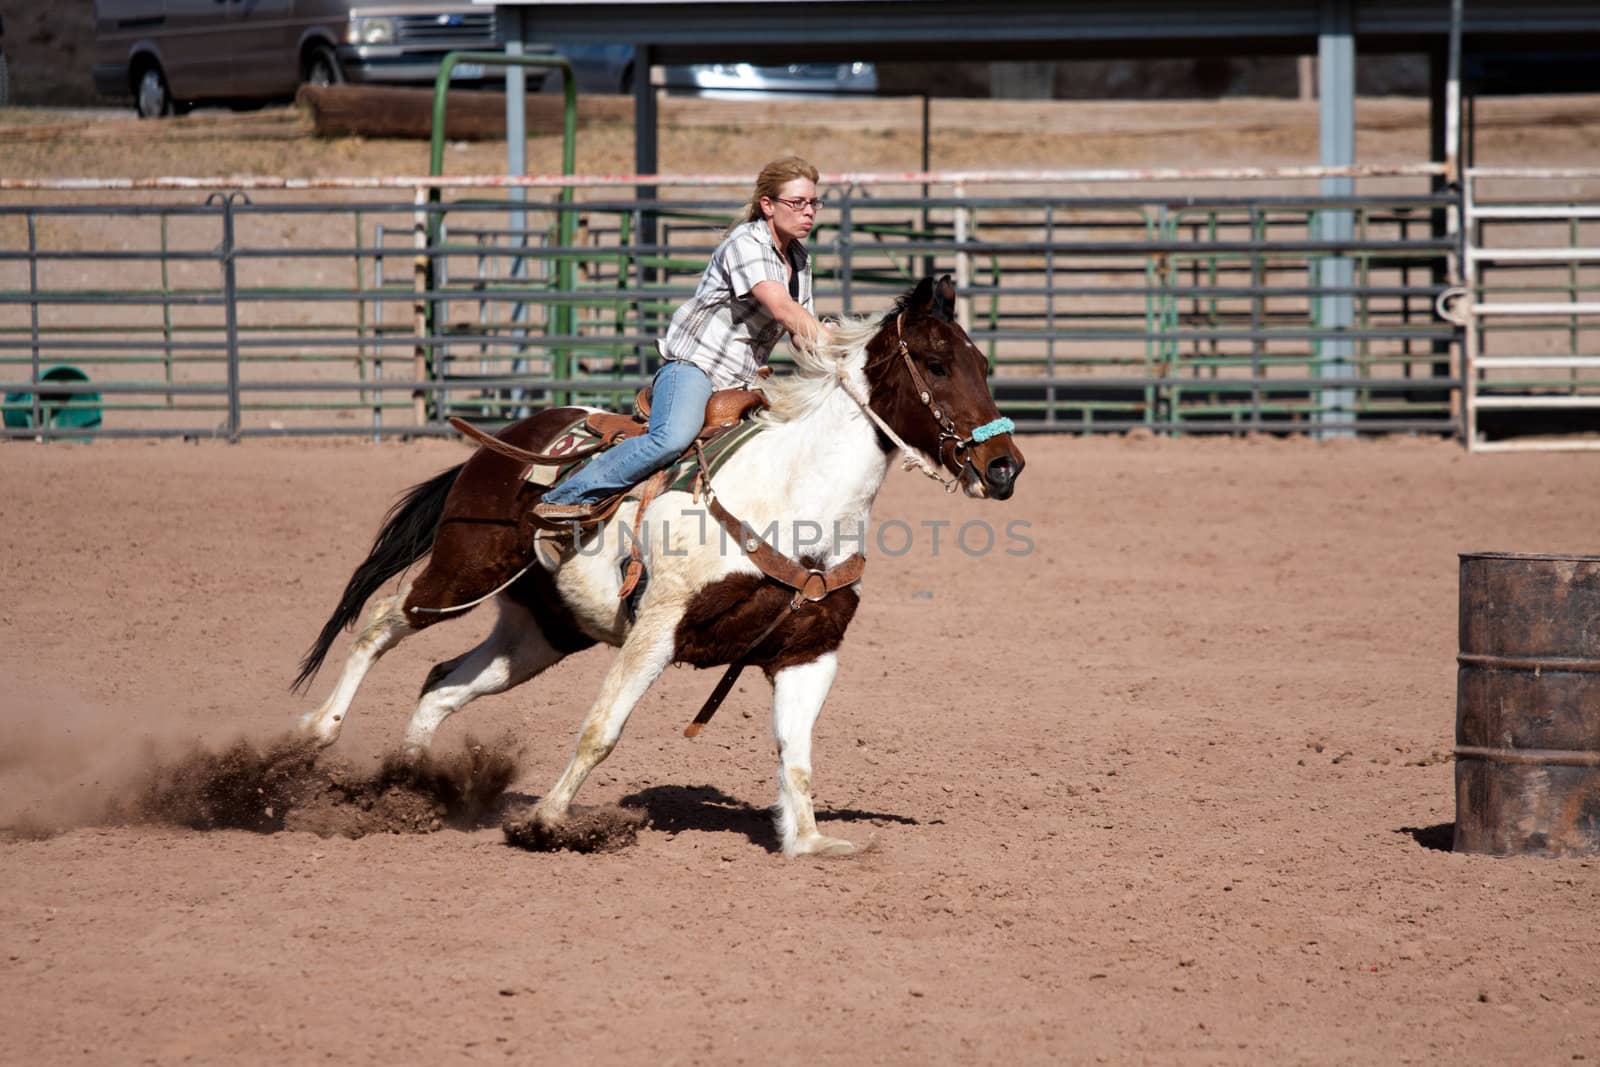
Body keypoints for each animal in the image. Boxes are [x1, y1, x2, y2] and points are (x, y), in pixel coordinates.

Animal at [294, 275, 1024, 857]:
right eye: (936, 363)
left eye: (983, 364)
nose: (1005, 467)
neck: (796, 495)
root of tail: (504, 442)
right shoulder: (658, 626)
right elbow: (601, 729)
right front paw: (548, 821)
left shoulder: (809, 651)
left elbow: (797, 755)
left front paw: (811, 841)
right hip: (463, 570)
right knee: (381, 622)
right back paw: (316, 734)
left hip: (542, 630)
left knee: (442, 683)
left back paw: (407, 787)